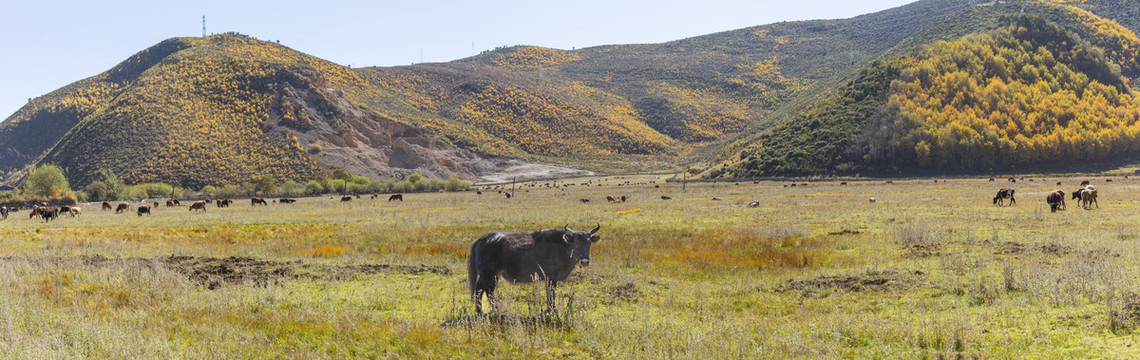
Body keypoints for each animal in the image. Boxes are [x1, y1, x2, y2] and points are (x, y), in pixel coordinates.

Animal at [465, 223, 601, 314]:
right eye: (576, 243)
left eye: (589, 242)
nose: (584, 261)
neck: (563, 246)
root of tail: (481, 239)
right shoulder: (552, 276)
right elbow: (551, 292)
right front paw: (553, 310)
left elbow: (549, 292)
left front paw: (550, 309)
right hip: (486, 274)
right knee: (478, 290)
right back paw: (480, 312)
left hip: (494, 275)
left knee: (489, 291)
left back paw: (496, 310)